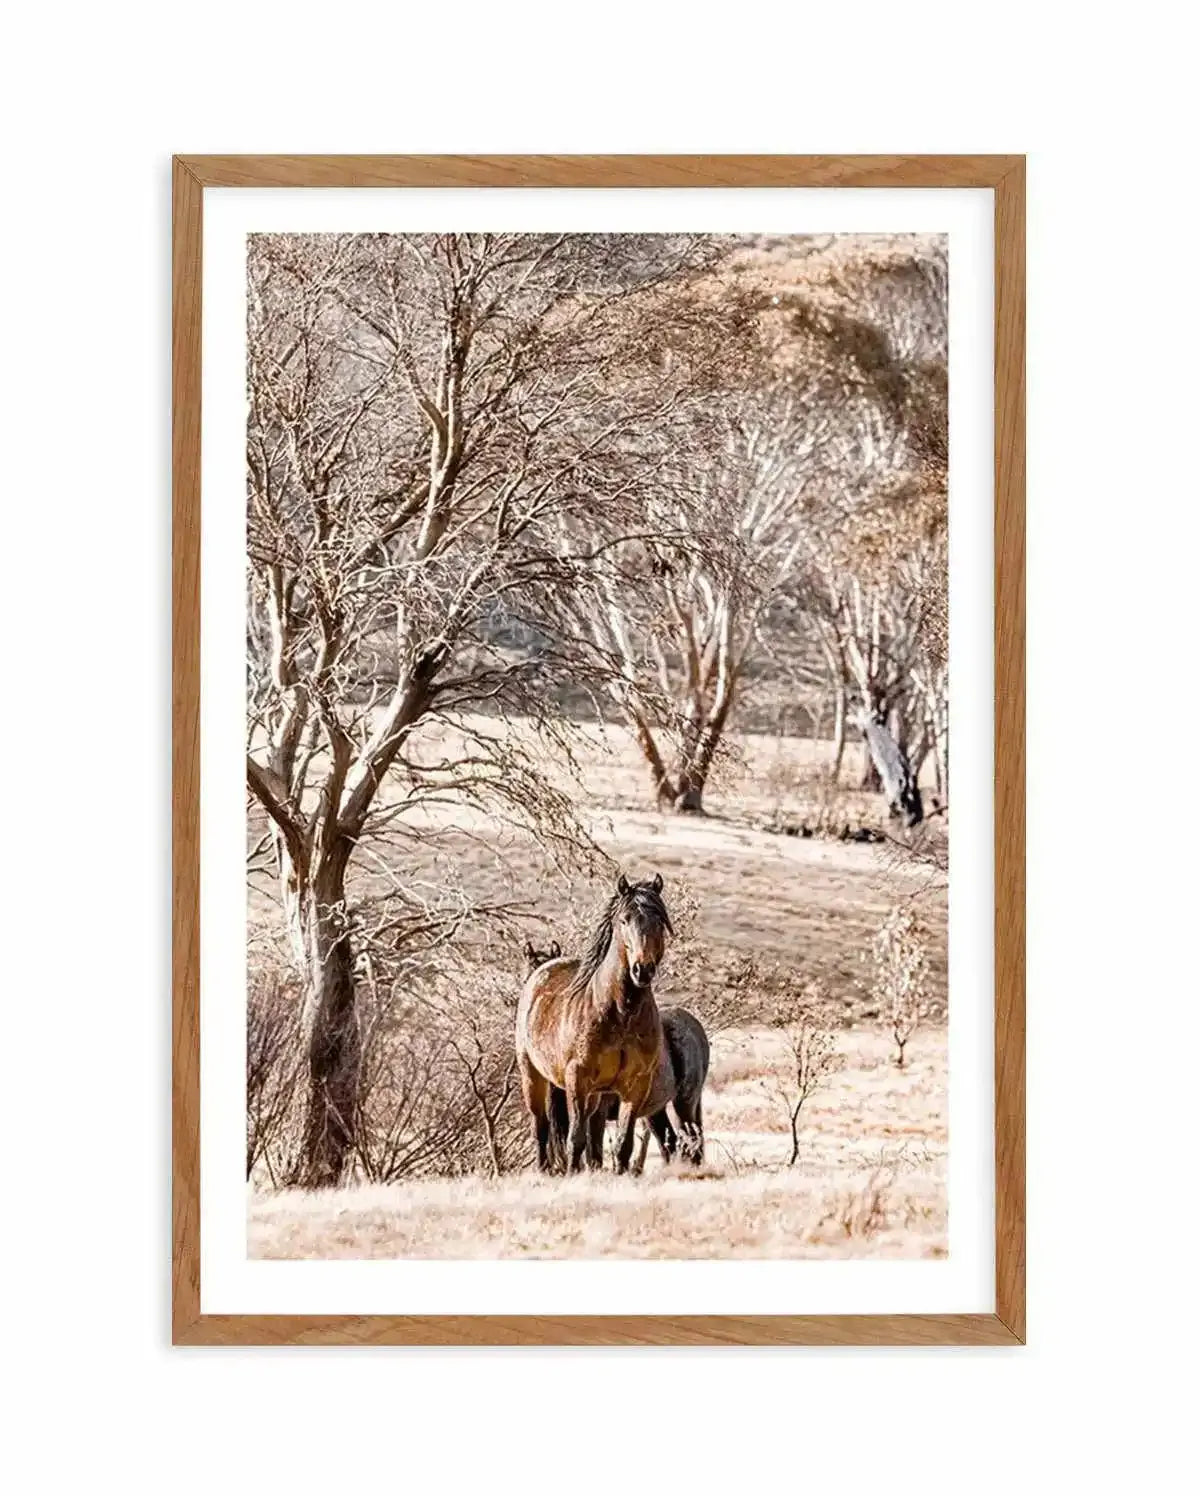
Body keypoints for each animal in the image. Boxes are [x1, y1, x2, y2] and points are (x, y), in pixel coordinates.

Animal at [515, 873, 671, 1174]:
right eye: (624, 920)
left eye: (659, 919)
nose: (642, 970)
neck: (620, 1012)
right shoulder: (578, 1079)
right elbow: (575, 1138)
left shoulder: (635, 1085)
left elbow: (622, 1144)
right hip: (534, 1077)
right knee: (541, 1127)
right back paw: (544, 1170)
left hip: (596, 1095)